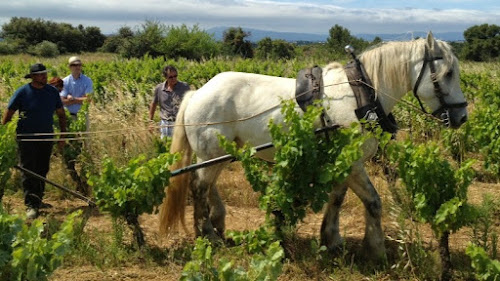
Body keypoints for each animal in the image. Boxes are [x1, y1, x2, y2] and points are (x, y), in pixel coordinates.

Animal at [160, 32, 468, 258]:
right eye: (448, 73)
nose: (462, 116)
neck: (363, 96)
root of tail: (198, 92)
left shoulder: (343, 160)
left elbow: (337, 198)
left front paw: (332, 239)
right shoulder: (353, 161)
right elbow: (373, 202)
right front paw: (376, 250)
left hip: (221, 153)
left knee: (208, 184)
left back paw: (217, 222)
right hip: (212, 152)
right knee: (199, 187)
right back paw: (208, 234)